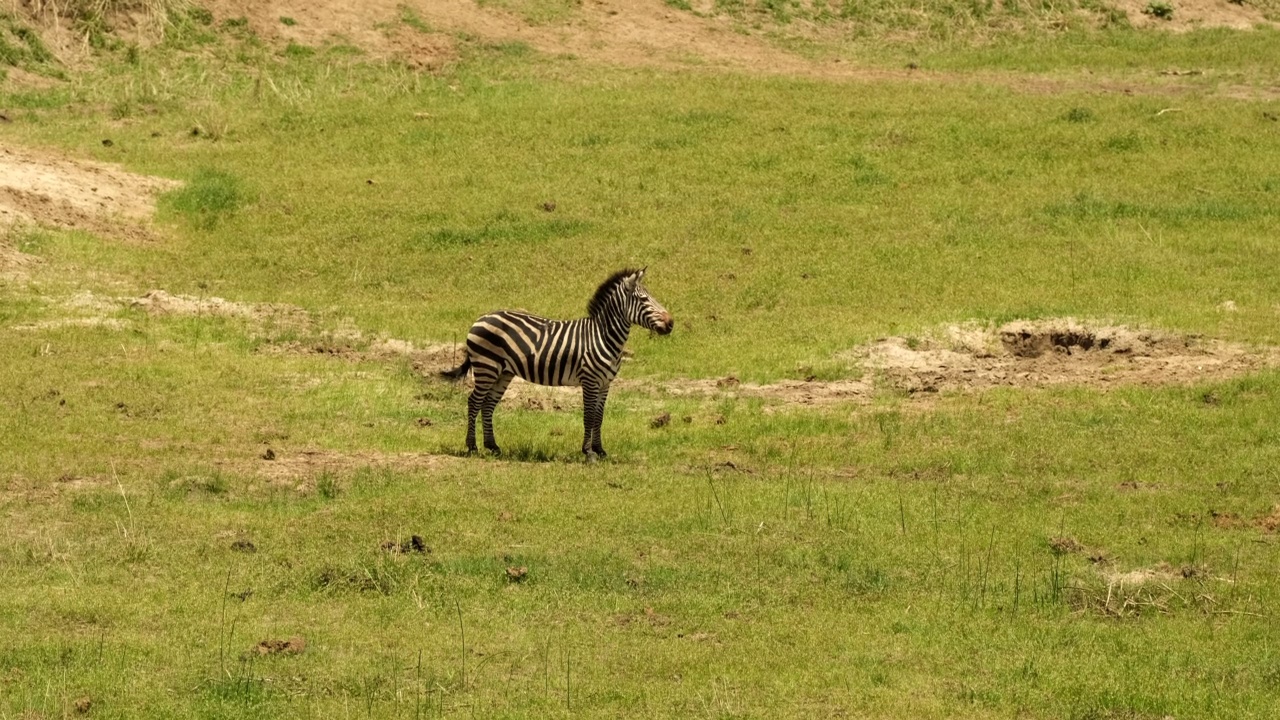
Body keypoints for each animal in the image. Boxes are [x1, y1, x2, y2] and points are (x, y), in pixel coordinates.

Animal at [442, 266, 670, 456]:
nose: (671, 323)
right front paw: (588, 453)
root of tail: (481, 318)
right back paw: (472, 447)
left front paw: (600, 450)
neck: (602, 336)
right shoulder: (589, 380)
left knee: (488, 404)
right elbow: (589, 416)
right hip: (486, 367)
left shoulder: (605, 383)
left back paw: (493, 446)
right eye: (643, 300)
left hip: (503, 372)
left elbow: (599, 416)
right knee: (474, 402)